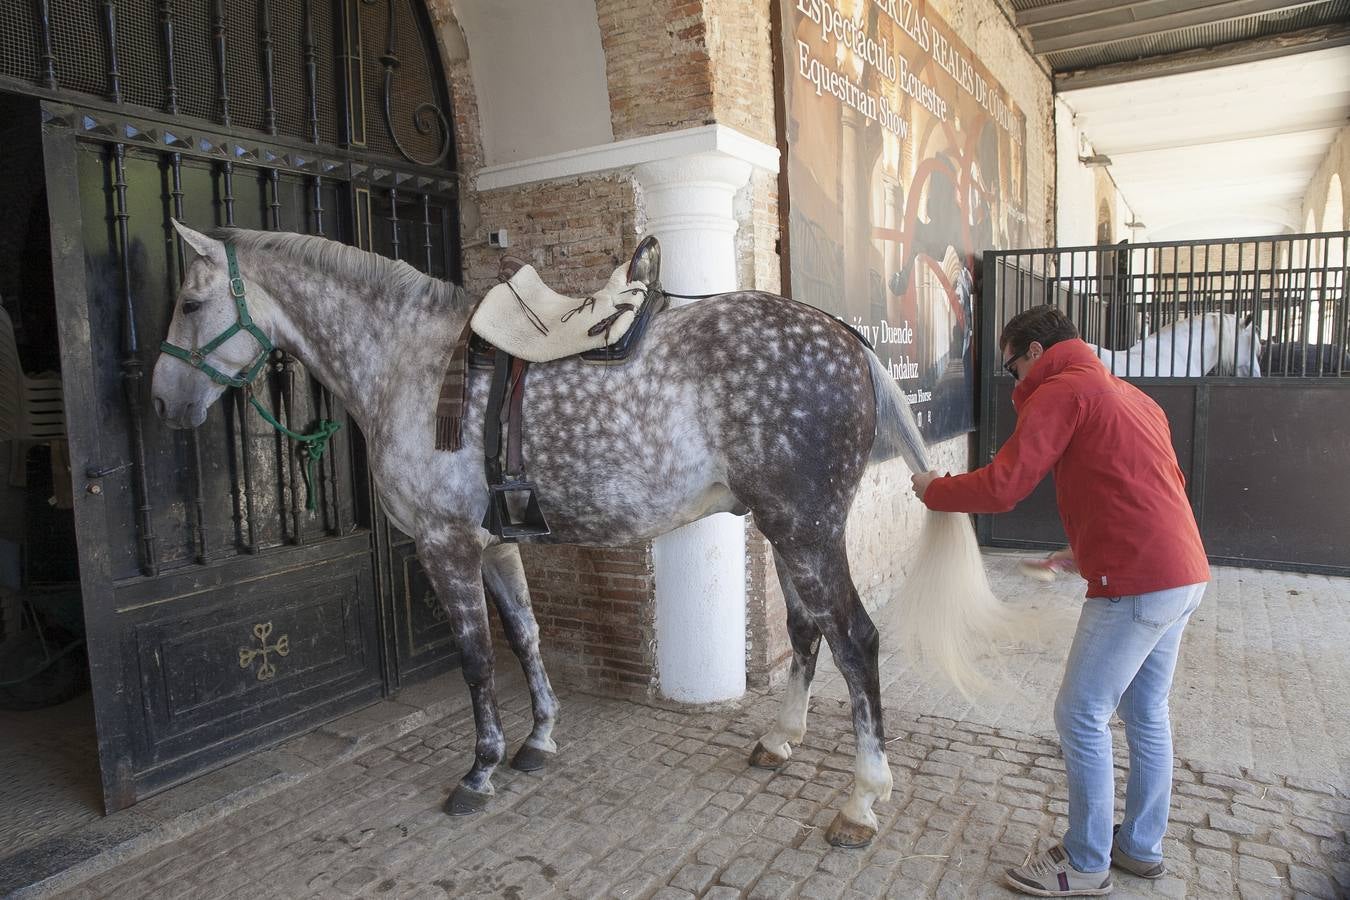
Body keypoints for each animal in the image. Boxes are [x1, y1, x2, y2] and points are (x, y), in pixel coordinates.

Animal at [153, 221, 1009, 847]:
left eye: (189, 303)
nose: (162, 401)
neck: (408, 366)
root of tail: (846, 336)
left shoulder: (444, 546)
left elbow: (475, 660)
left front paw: (480, 771)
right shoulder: (496, 544)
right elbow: (526, 635)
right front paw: (538, 741)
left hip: (806, 529)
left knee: (856, 640)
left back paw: (861, 801)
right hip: (787, 528)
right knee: (807, 630)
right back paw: (779, 741)